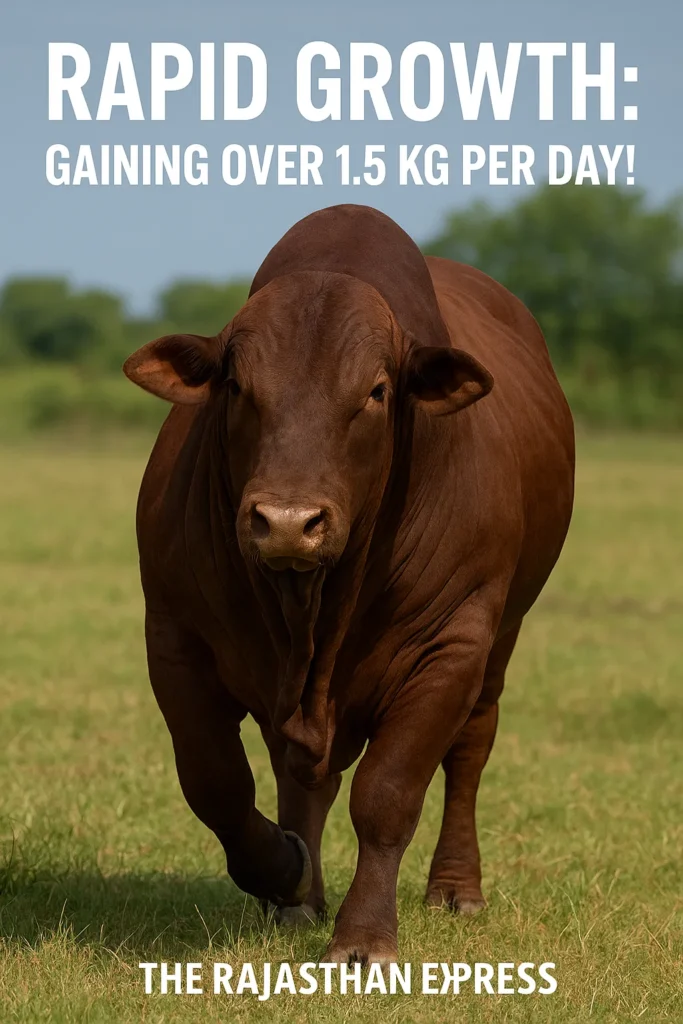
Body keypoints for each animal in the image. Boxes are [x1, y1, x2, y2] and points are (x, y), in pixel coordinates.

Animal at [123, 203, 574, 965]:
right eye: (237, 386)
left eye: (375, 392)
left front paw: (363, 936)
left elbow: (387, 792)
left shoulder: (451, 645)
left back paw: (456, 888)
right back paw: (299, 900)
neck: (312, 609)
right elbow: (216, 782)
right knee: (299, 773)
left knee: (469, 750)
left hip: (501, 640)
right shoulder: (175, 638)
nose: (286, 523)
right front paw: (285, 869)